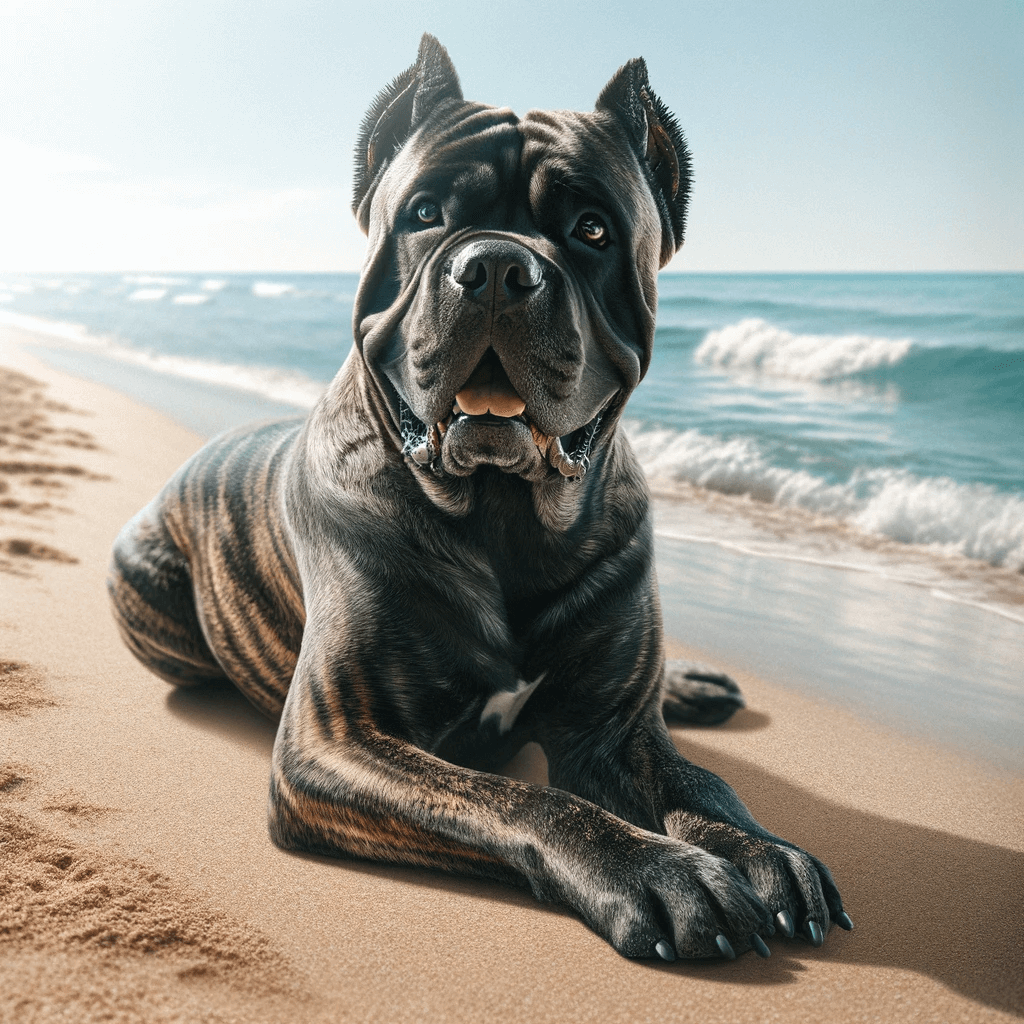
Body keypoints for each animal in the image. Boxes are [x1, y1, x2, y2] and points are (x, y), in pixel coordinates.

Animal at [108, 32, 851, 958]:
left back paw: (690, 687)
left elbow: (700, 785)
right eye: (425, 213)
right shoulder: (338, 741)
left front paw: (760, 849)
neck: (503, 514)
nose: (495, 264)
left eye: (592, 229)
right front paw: (661, 871)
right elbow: (527, 799)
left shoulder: (613, 732)